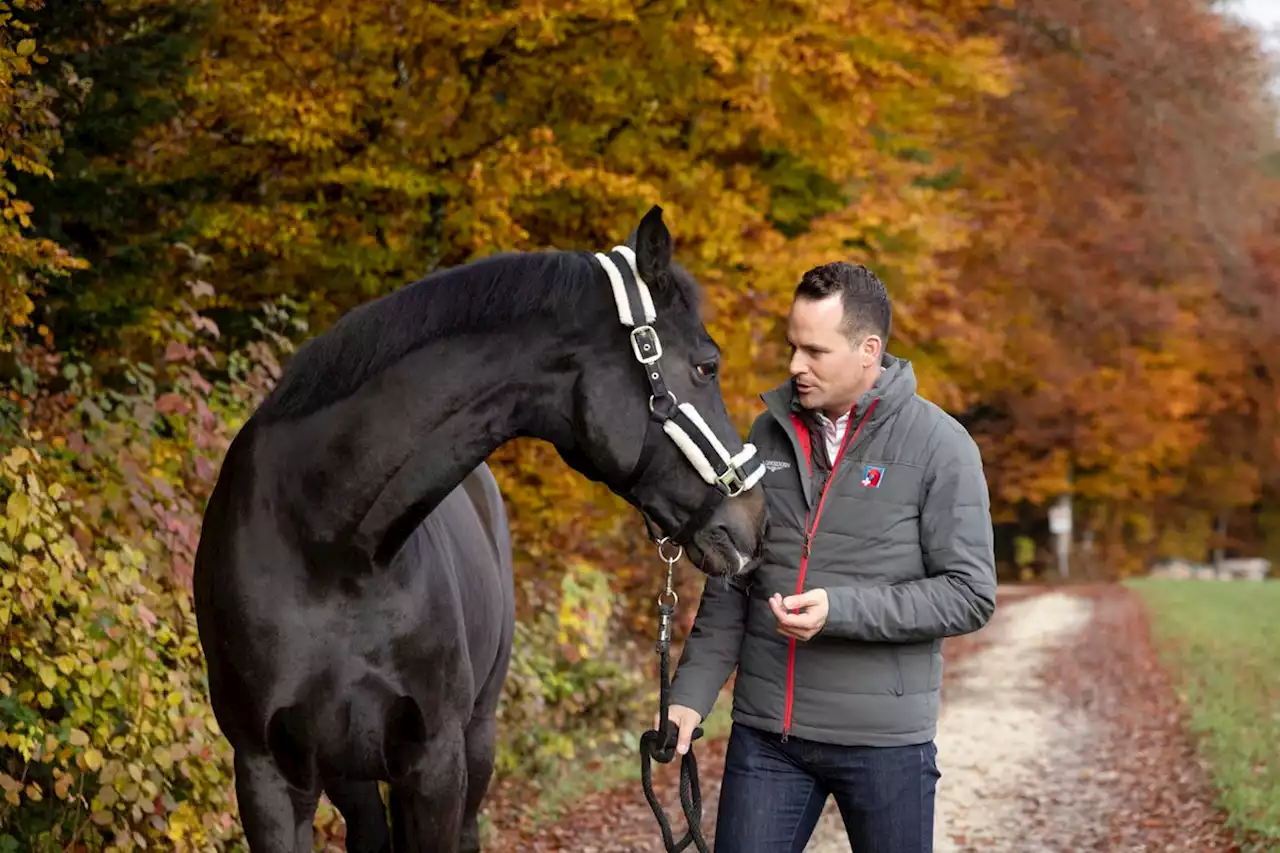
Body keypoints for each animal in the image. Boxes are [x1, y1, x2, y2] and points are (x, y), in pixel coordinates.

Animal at [194, 206, 762, 850]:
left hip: (477, 741)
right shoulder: (265, 774)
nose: (753, 523)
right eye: (706, 365)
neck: (328, 548)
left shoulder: (436, 762)